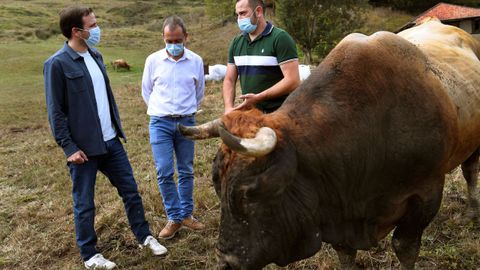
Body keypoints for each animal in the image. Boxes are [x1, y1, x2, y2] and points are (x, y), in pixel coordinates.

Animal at [178, 17, 480, 268]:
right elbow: (345, 253)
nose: (226, 262)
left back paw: (470, 212)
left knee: (470, 171)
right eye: (217, 186)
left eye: (248, 193)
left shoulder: (427, 193)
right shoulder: (335, 210)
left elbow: (404, 247)